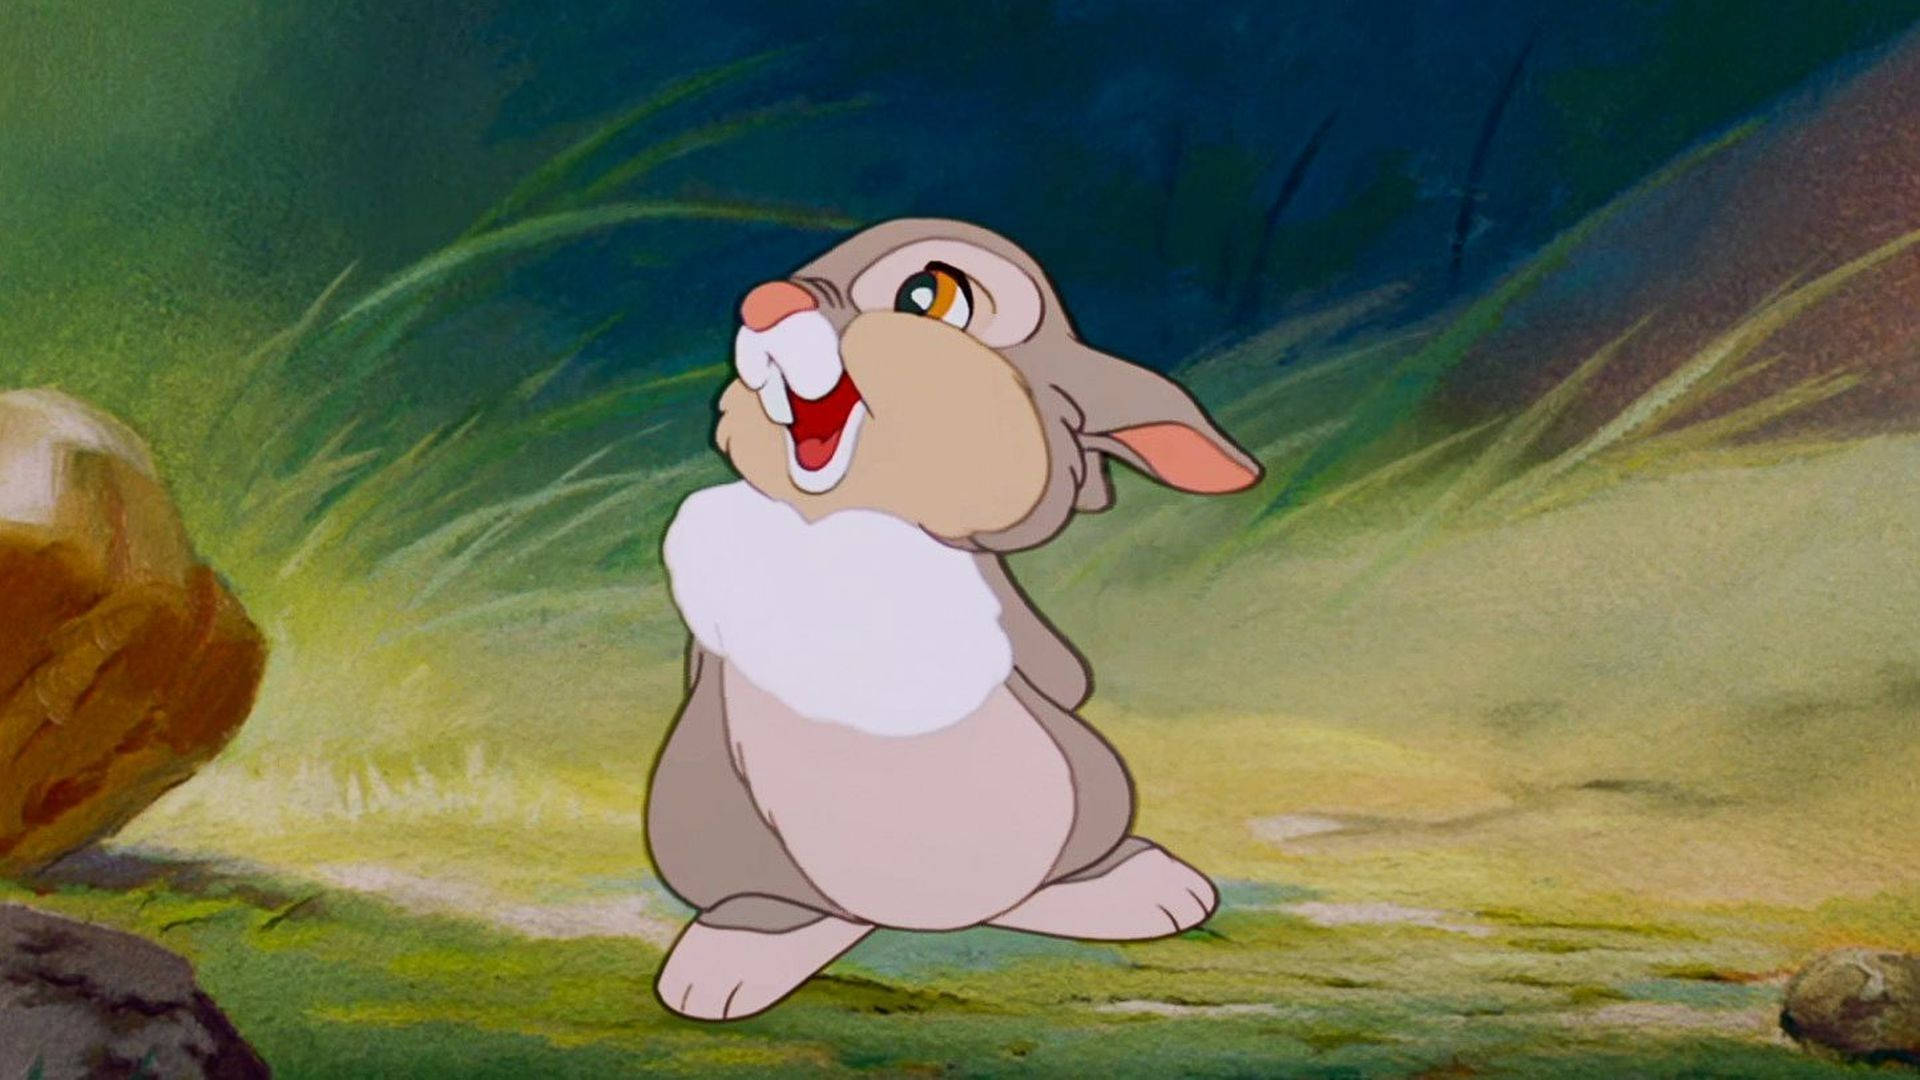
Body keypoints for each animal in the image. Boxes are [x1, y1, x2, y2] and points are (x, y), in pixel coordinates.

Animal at [648, 217, 1261, 1020]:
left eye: (928, 294)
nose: (763, 301)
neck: (856, 520)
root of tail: (918, 920)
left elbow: (1061, 673)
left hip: (1091, 787)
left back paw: (1136, 886)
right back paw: (734, 958)